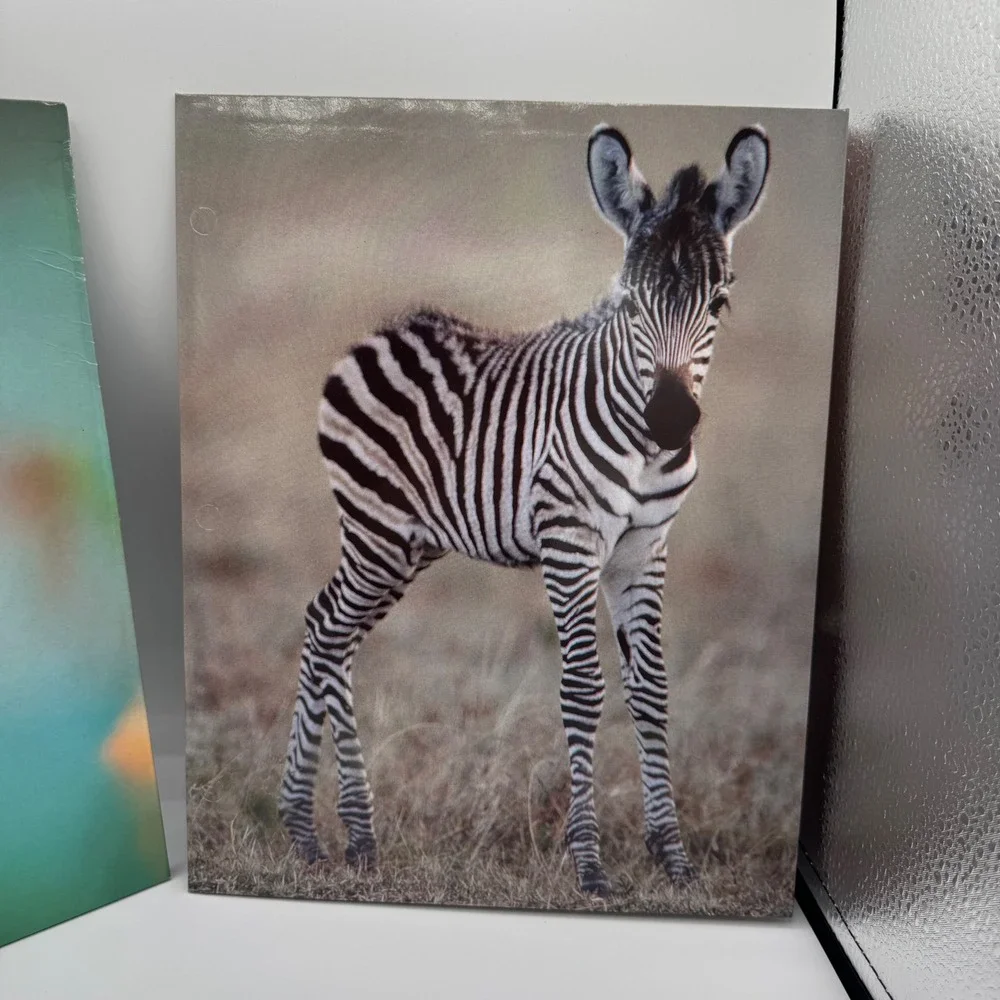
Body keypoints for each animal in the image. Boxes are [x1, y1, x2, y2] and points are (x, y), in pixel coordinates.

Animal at [278, 123, 770, 896]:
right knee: (329, 631)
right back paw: (337, 831)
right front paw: (590, 864)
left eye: (717, 304)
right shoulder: (570, 541)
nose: (670, 420)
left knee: (329, 628)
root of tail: (381, 331)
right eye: (630, 305)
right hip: (376, 529)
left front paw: (672, 857)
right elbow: (583, 687)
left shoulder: (645, 551)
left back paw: (320, 832)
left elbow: (653, 688)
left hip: (407, 546)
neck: (641, 446)